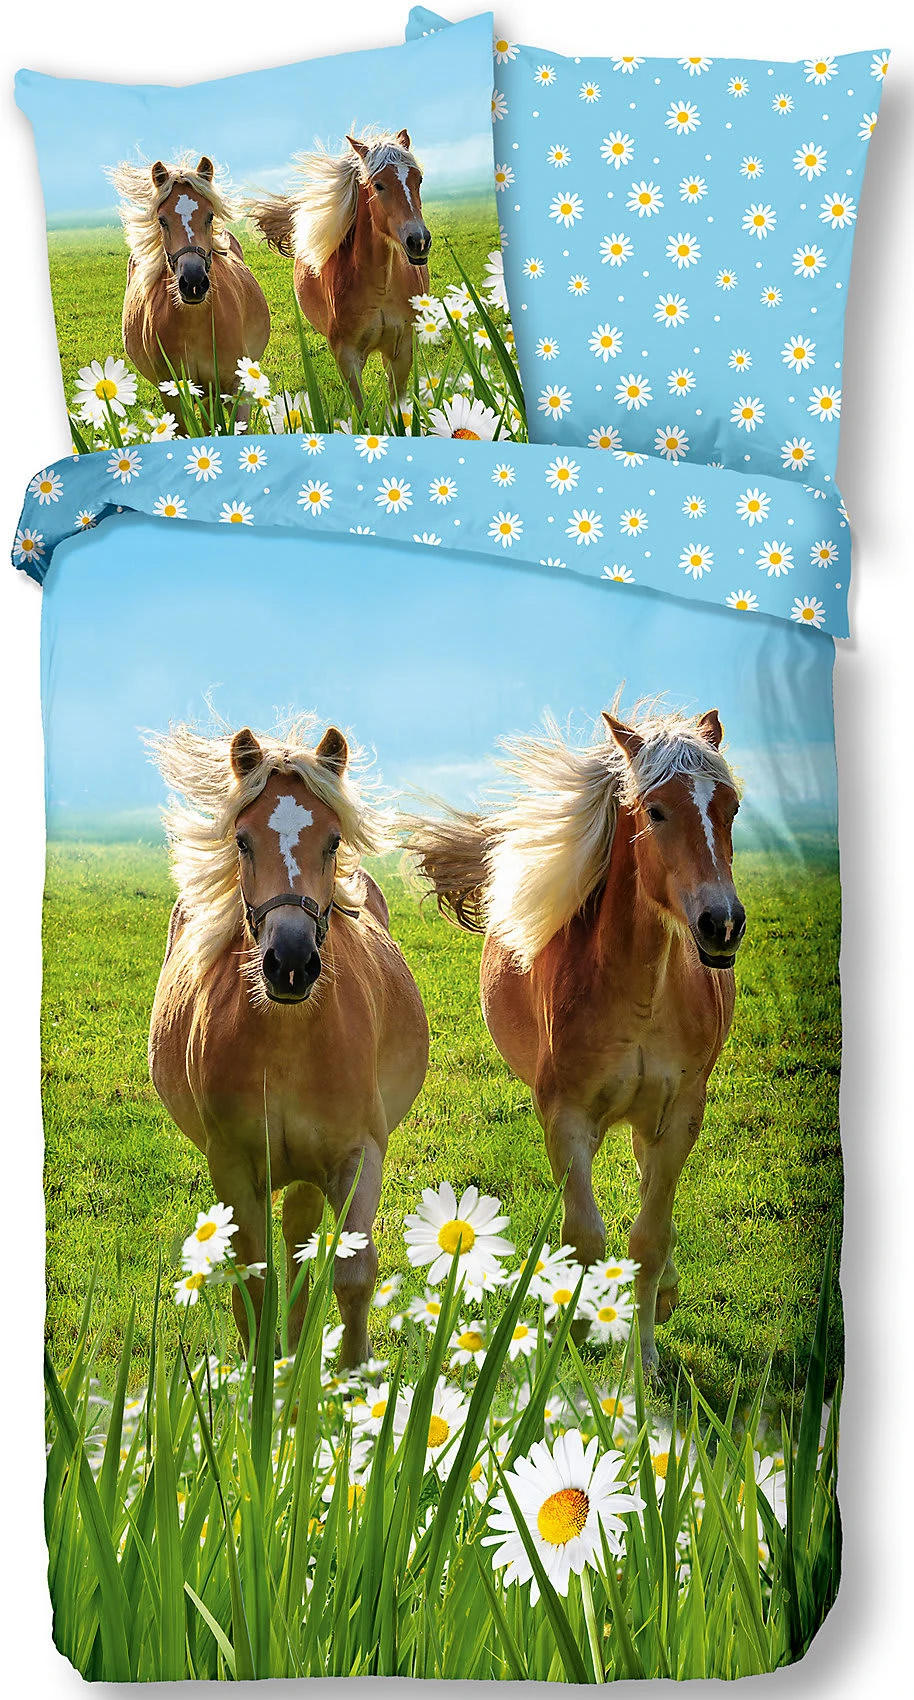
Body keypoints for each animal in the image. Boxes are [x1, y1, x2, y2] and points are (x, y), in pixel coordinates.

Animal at [109, 154, 270, 410]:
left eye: (210, 216)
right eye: (162, 220)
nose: (193, 282)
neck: (195, 323)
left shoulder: (235, 388)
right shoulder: (173, 395)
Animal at [147, 718, 429, 1367]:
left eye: (332, 840)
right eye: (243, 841)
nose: (292, 961)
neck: (287, 1043)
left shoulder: (357, 1156)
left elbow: (353, 1275)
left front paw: (352, 1381)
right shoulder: (232, 1166)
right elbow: (251, 1282)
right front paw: (259, 1382)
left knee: (302, 1242)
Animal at [246, 129, 431, 408]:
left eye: (418, 179)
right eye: (378, 185)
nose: (418, 241)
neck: (382, 288)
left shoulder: (402, 352)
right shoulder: (348, 357)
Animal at [405, 705, 746, 1372]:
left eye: (732, 807)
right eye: (655, 810)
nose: (721, 923)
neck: (639, 995)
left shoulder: (680, 1115)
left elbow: (649, 1236)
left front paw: (642, 1360)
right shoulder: (565, 1117)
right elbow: (585, 1238)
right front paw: (576, 1342)